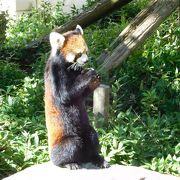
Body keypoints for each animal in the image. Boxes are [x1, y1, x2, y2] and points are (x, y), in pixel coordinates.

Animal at [44, 25, 109, 169]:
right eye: (79, 54)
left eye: (86, 52)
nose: (86, 61)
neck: (69, 67)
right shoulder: (55, 73)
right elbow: (65, 95)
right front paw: (89, 74)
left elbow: (82, 95)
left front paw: (96, 79)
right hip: (65, 139)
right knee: (71, 145)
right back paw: (68, 163)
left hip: (87, 131)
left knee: (92, 136)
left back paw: (97, 158)